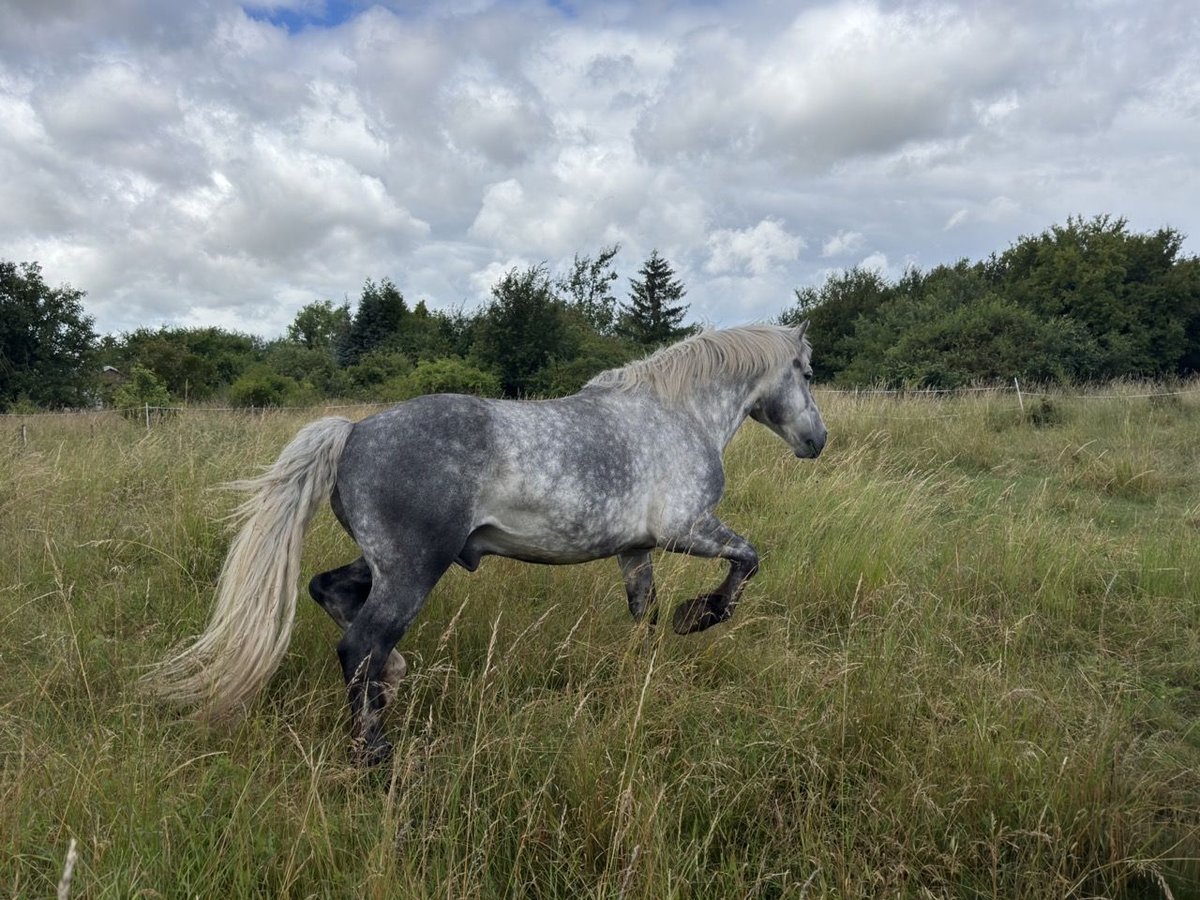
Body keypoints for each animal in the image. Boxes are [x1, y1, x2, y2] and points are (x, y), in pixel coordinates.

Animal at [147, 321, 825, 763]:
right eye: (807, 371)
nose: (816, 440)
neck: (676, 414)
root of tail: (354, 431)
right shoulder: (688, 529)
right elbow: (747, 561)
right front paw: (702, 615)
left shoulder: (636, 550)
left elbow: (644, 615)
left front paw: (646, 670)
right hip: (415, 568)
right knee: (360, 644)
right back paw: (375, 753)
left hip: (390, 563)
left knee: (329, 594)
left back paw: (392, 684)